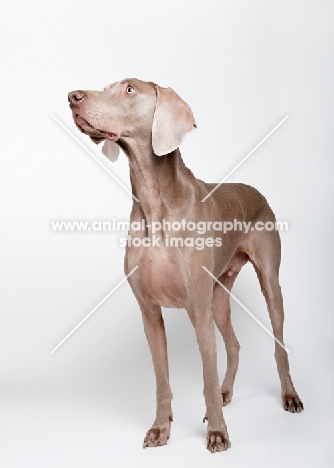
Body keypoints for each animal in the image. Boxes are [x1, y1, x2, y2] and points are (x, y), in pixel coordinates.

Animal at [68, 78, 302, 452]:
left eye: (130, 89)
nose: (72, 97)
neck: (154, 204)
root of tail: (254, 189)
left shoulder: (197, 310)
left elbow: (205, 374)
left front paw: (218, 433)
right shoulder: (149, 311)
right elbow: (162, 379)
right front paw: (160, 428)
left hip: (269, 283)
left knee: (279, 344)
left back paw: (289, 395)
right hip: (219, 295)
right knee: (234, 345)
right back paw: (225, 392)